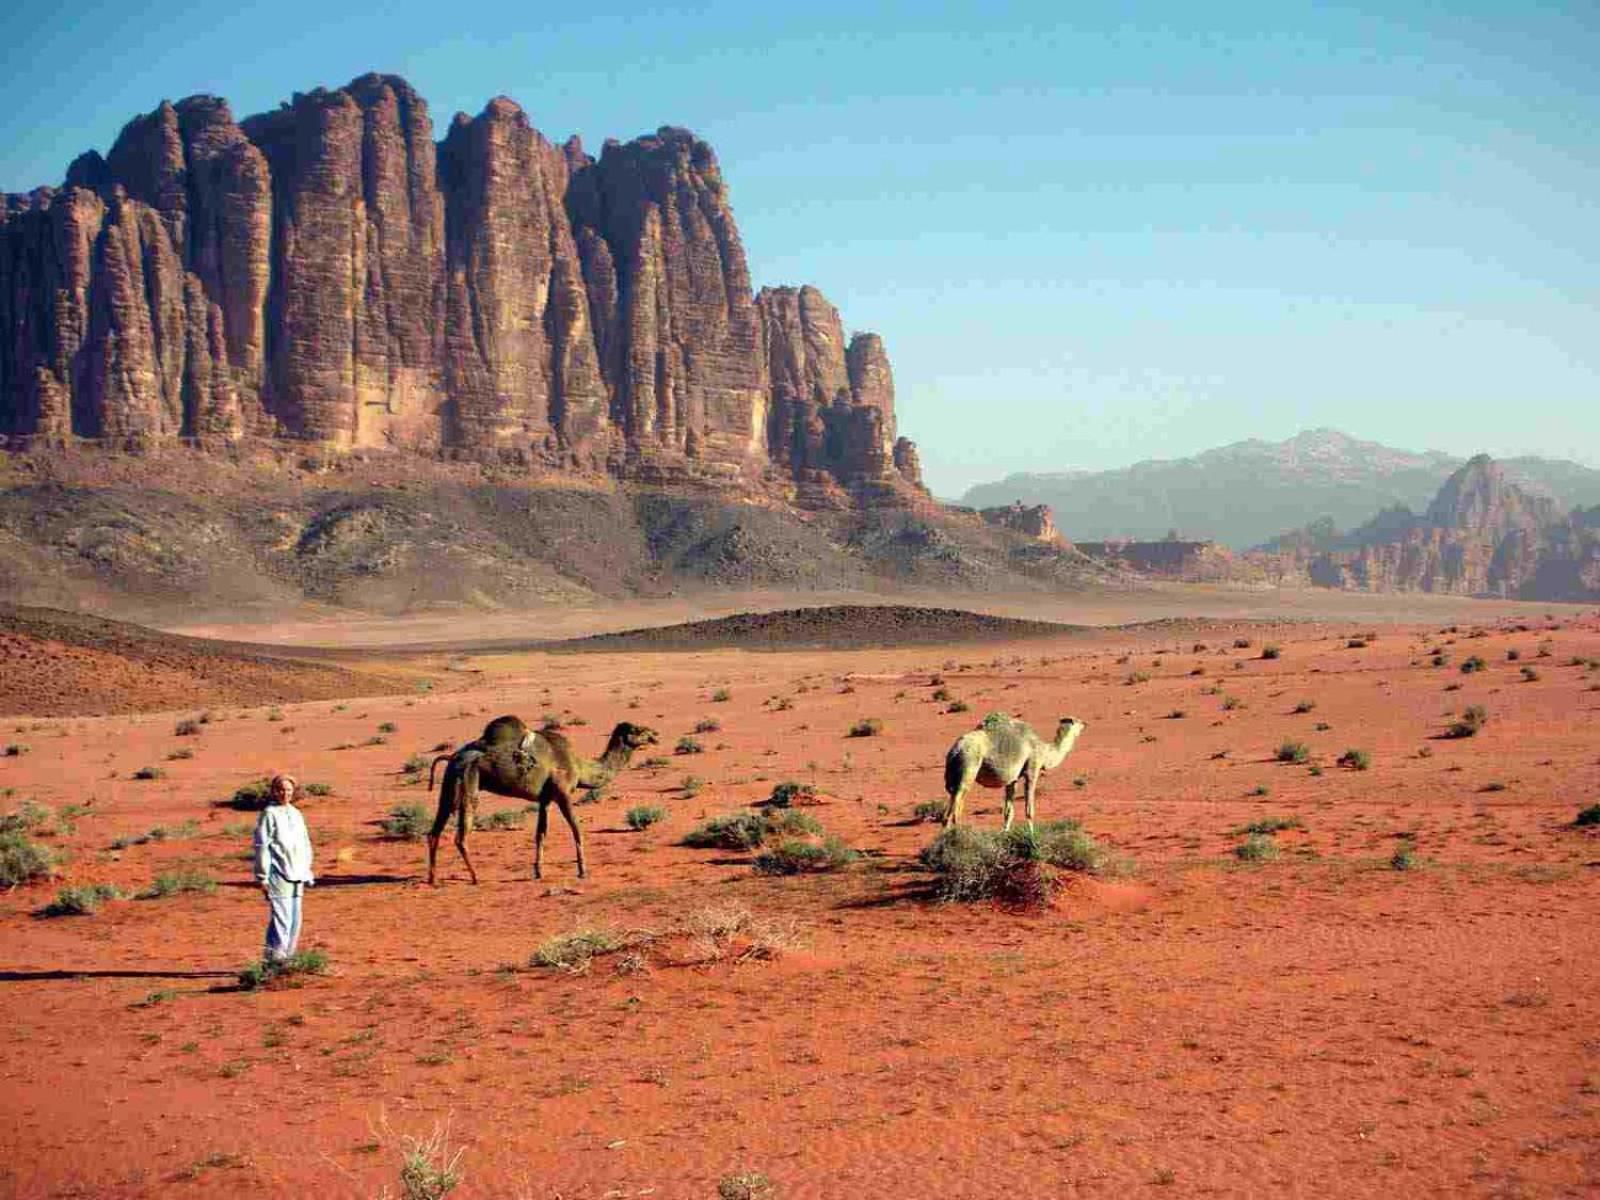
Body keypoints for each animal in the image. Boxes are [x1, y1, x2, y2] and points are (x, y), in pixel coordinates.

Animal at [422, 720, 659, 889]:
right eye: (638, 730)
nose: (655, 735)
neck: (580, 766)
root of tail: (453, 756)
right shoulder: (563, 793)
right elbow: (577, 829)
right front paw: (583, 870)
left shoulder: (545, 799)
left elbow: (540, 833)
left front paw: (538, 872)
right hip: (469, 780)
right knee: (461, 836)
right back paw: (475, 877)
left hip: (449, 784)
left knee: (435, 831)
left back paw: (433, 878)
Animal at [934, 710, 1088, 832]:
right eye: (1078, 721)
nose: (1085, 724)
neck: (1045, 751)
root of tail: (955, 750)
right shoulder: (1032, 769)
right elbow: (1029, 809)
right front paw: (1031, 835)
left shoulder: (1012, 779)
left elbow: (1008, 811)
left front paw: (1005, 832)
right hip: (968, 767)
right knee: (955, 807)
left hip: (954, 775)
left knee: (951, 806)